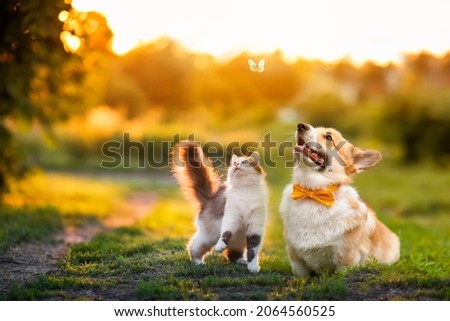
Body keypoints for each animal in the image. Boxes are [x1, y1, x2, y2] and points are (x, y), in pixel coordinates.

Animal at [172, 141, 268, 272]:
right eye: (233, 163)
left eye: (244, 162)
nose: (236, 164)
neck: (245, 190)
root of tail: (210, 198)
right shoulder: (231, 217)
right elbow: (225, 233)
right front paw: (220, 247)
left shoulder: (255, 227)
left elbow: (253, 250)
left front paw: (253, 267)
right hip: (207, 238)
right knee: (194, 247)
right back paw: (198, 262)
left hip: (238, 241)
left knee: (233, 255)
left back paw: (241, 261)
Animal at [280, 121, 400, 276]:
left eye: (329, 137)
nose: (301, 126)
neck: (313, 192)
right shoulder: (297, 260)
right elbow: (301, 275)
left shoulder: (345, 260)